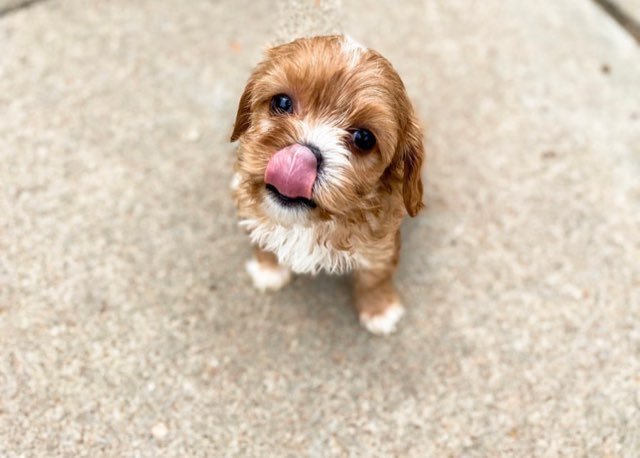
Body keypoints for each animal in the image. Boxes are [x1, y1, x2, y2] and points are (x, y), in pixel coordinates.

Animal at [230, 35, 424, 334]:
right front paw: (268, 270)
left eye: (364, 138)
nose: (299, 157)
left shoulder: (380, 243)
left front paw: (379, 309)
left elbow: (375, 276)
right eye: (282, 102)